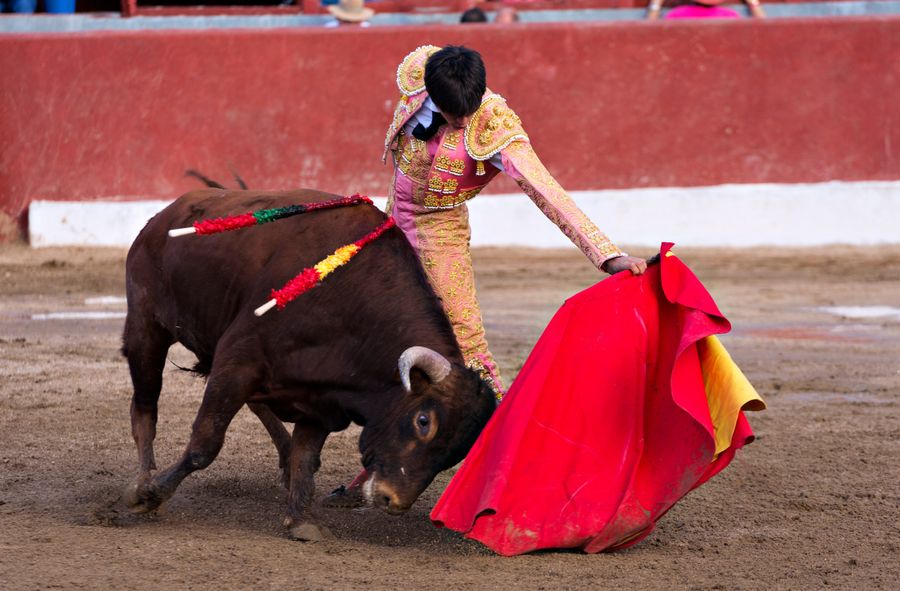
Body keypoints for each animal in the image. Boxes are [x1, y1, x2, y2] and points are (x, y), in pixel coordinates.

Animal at [119, 190, 496, 540]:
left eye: (457, 452)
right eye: (423, 421)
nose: (394, 501)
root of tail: (163, 216)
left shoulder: (321, 398)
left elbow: (306, 456)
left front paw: (301, 521)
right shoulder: (238, 361)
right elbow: (205, 443)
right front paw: (151, 494)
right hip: (146, 327)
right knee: (145, 407)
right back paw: (142, 481)